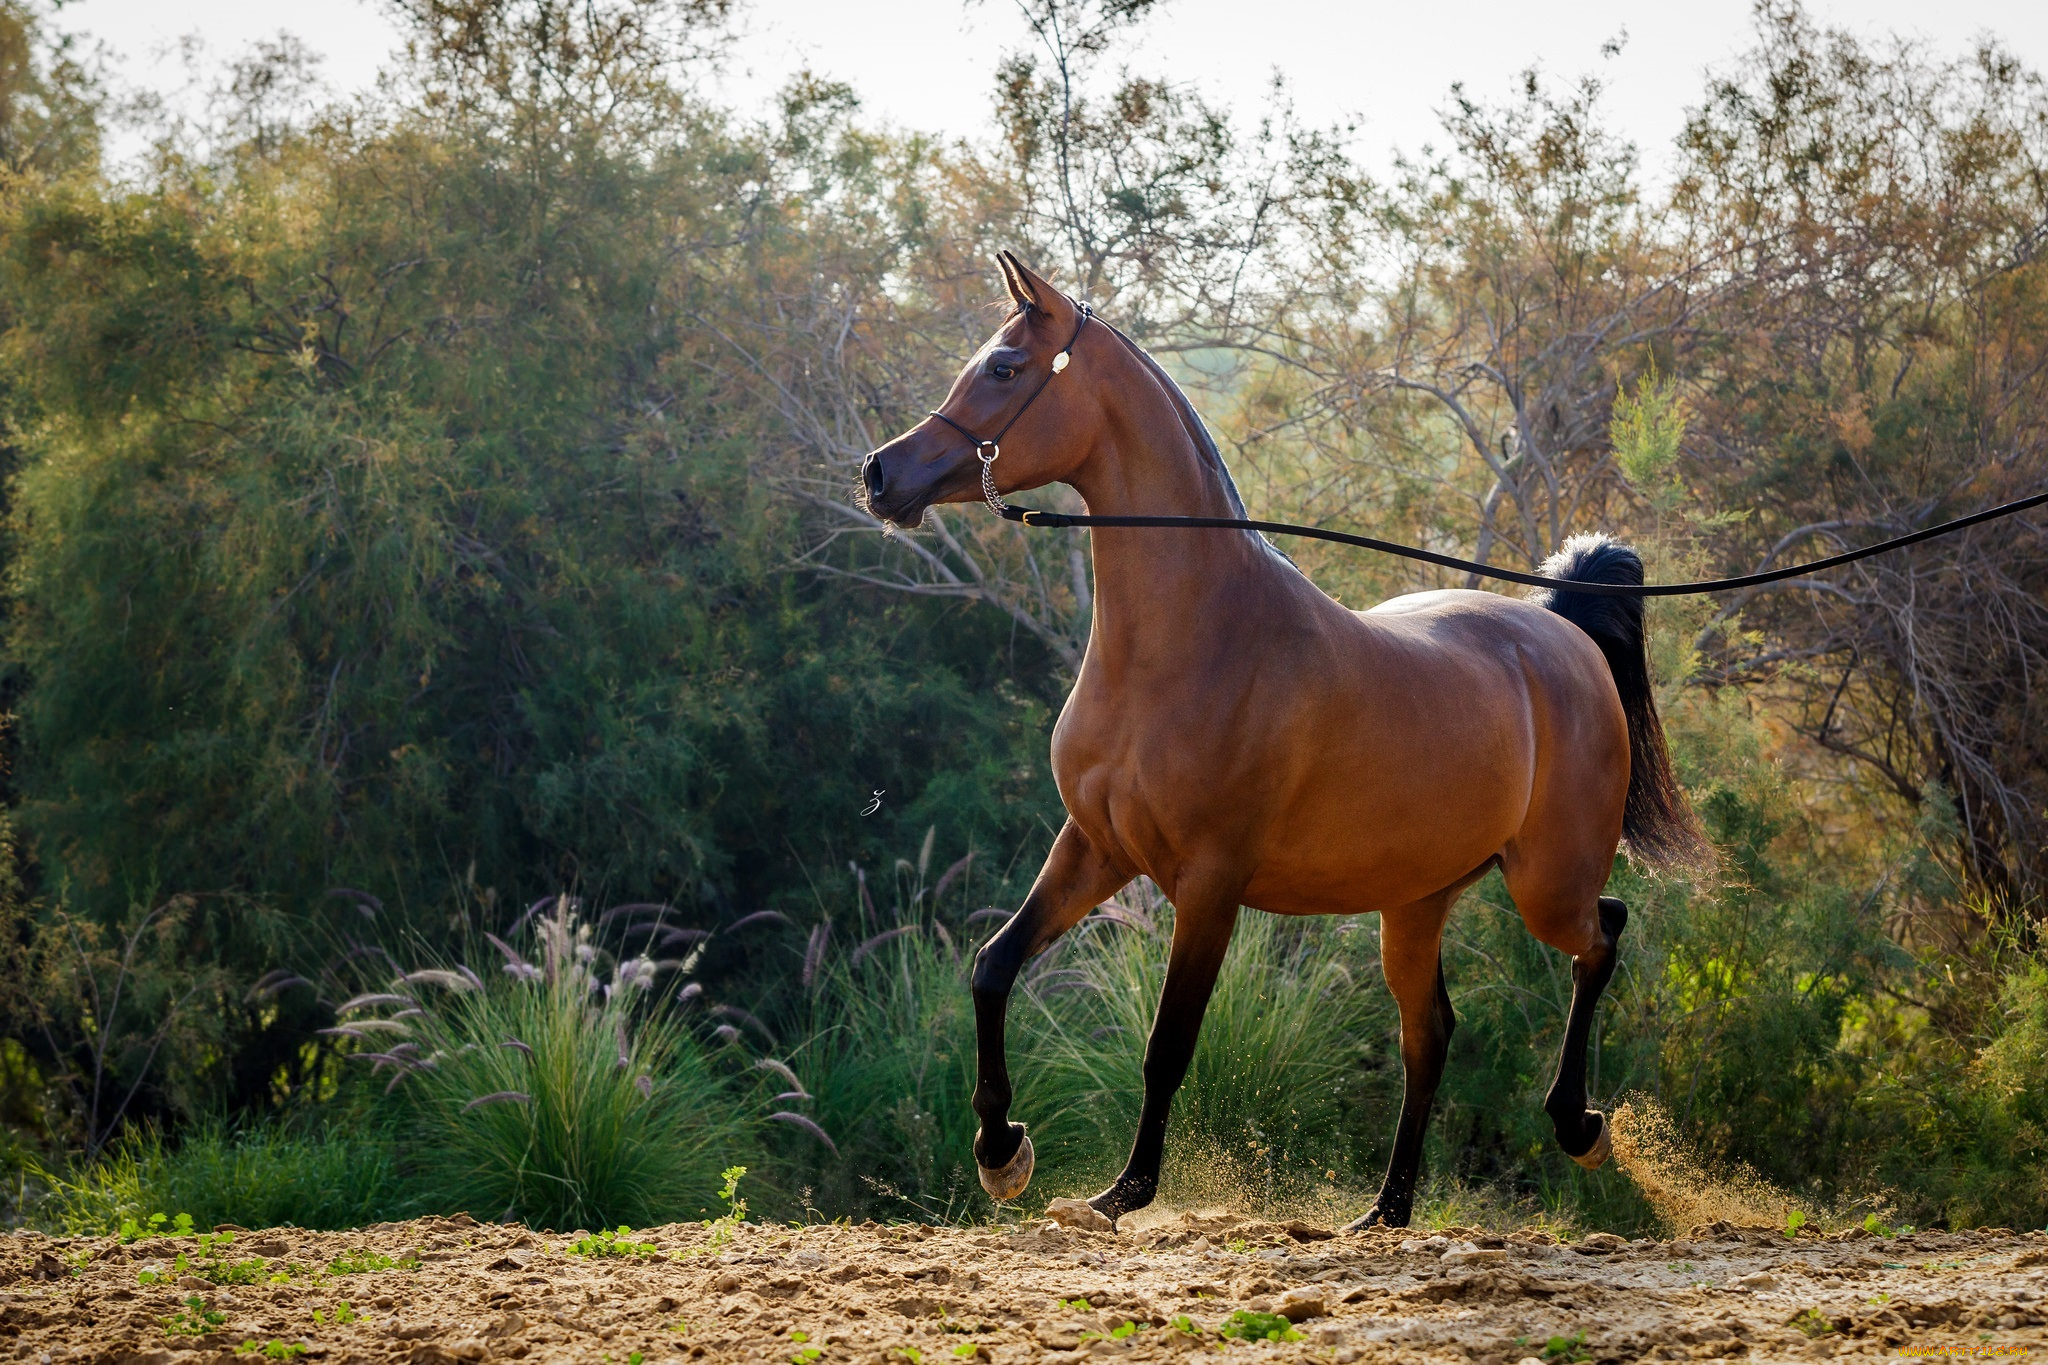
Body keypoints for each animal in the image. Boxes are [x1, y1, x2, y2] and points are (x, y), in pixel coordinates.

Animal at [856, 250, 1703, 1236]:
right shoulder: (1096, 847)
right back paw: (1385, 1212)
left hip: (1546, 885)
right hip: (1416, 901)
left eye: (1003, 367)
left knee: (1602, 935)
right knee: (1431, 1033)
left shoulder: (1210, 882)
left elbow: (1168, 1041)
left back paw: (1579, 1125)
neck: (1193, 642)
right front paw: (1003, 1152)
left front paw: (1121, 1192)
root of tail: (1561, 628)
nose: (880, 474)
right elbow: (993, 967)